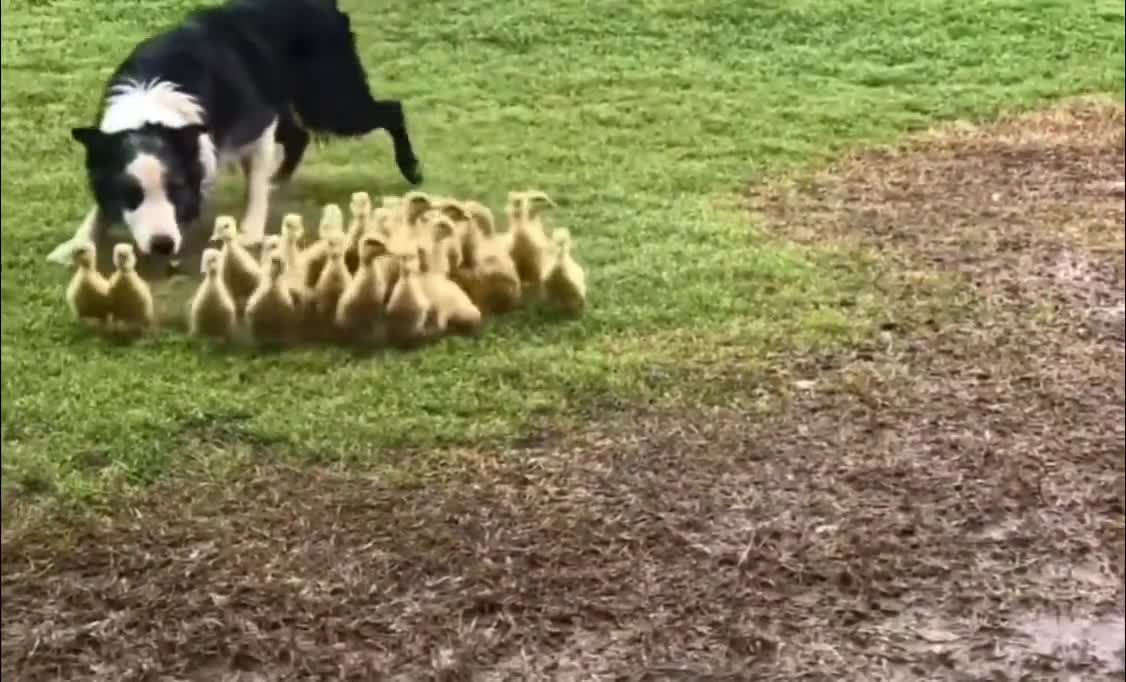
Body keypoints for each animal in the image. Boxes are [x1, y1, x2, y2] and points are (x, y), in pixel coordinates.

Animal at [45, 0, 425, 265]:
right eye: (130, 194)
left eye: (176, 189)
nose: (163, 245)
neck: (151, 109)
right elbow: (96, 210)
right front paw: (75, 243)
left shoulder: (257, 124)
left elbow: (254, 187)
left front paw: (250, 233)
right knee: (298, 137)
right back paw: (279, 180)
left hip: (331, 102)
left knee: (392, 109)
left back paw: (411, 169)